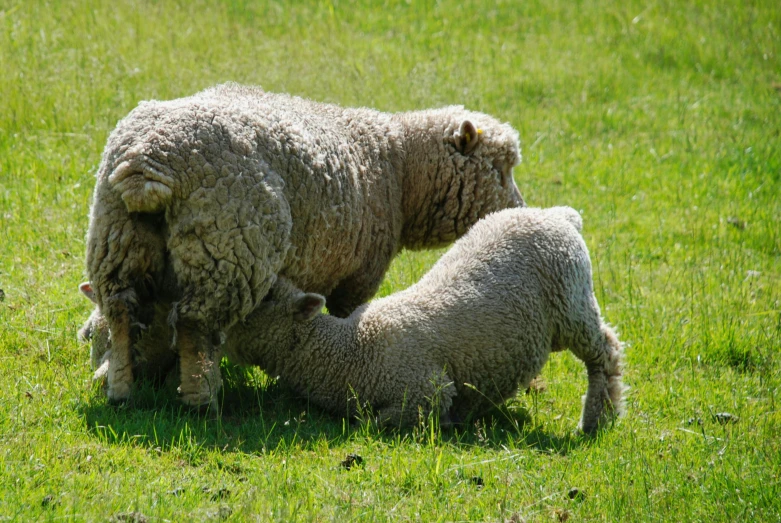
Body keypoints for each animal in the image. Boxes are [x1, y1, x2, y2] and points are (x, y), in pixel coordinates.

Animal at [85, 83, 524, 410]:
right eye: (501, 169)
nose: (520, 209)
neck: (399, 169)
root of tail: (148, 161)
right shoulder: (357, 275)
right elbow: (349, 314)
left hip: (117, 241)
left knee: (121, 312)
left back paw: (121, 390)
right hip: (228, 247)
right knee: (194, 322)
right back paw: (200, 398)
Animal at [219, 207, 620, 436]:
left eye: (264, 299)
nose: (219, 333)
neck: (348, 351)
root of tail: (558, 215)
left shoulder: (426, 389)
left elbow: (374, 422)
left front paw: (447, 424)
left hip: (571, 303)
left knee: (605, 352)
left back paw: (598, 419)